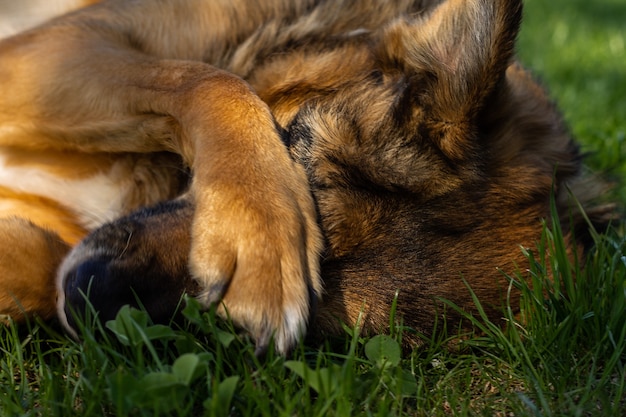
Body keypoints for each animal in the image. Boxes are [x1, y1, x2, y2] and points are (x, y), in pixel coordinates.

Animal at [0, 0, 608, 352]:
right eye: (292, 156)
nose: (85, 296)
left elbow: (36, 267)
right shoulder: (56, 47)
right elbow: (208, 79)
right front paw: (260, 234)